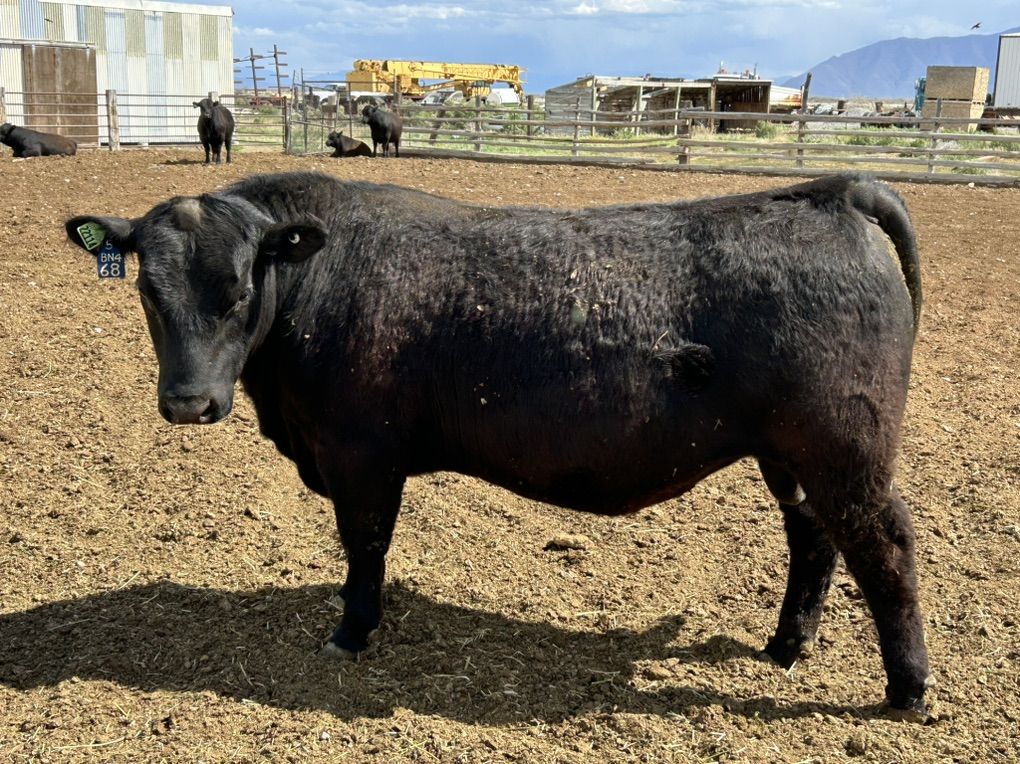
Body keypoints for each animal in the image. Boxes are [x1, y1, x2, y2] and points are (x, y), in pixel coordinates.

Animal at [65, 171, 930, 718]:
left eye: (241, 287)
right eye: (147, 288)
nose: (188, 403)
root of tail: (834, 193)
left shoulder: (360, 456)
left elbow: (365, 546)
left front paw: (352, 631)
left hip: (844, 451)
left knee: (884, 548)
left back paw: (908, 690)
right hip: (792, 456)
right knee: (813, 539)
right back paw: (786, 646)